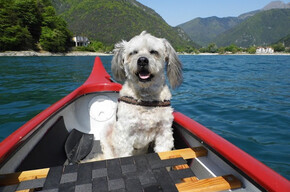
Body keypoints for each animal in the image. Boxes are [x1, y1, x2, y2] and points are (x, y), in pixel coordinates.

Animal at [101, 31, 181, 159]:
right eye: (133, 52)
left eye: (153, 52)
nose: (142, 60)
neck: (146, 98)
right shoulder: (124, 134)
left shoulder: (164, 132)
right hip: (106, 131)